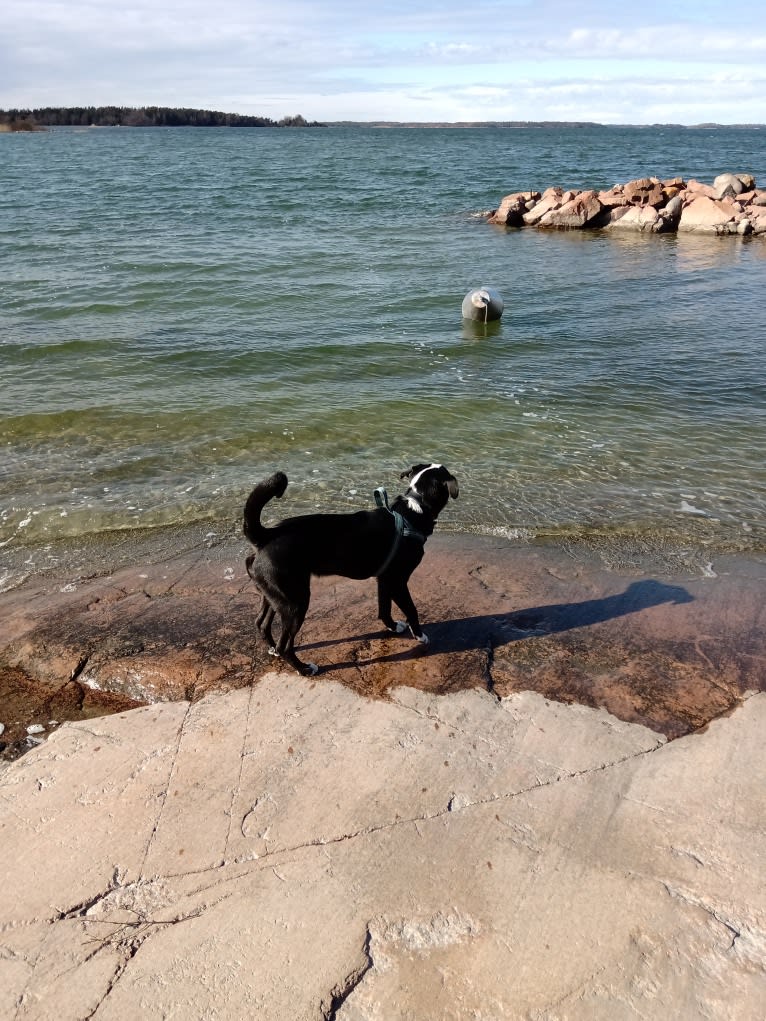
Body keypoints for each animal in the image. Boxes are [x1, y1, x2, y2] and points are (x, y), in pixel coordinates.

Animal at [243, 465, 459, 673]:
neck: (413, 510)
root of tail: (266, 536)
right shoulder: (397, 581)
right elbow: (411, 609)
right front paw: (420, 635)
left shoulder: (384, 580)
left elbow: (384, 607)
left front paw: (392, 626)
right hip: (295, 603)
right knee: (285, 645)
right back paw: (303, 668)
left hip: (275, 597)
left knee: (261, 624)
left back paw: (273, 649)